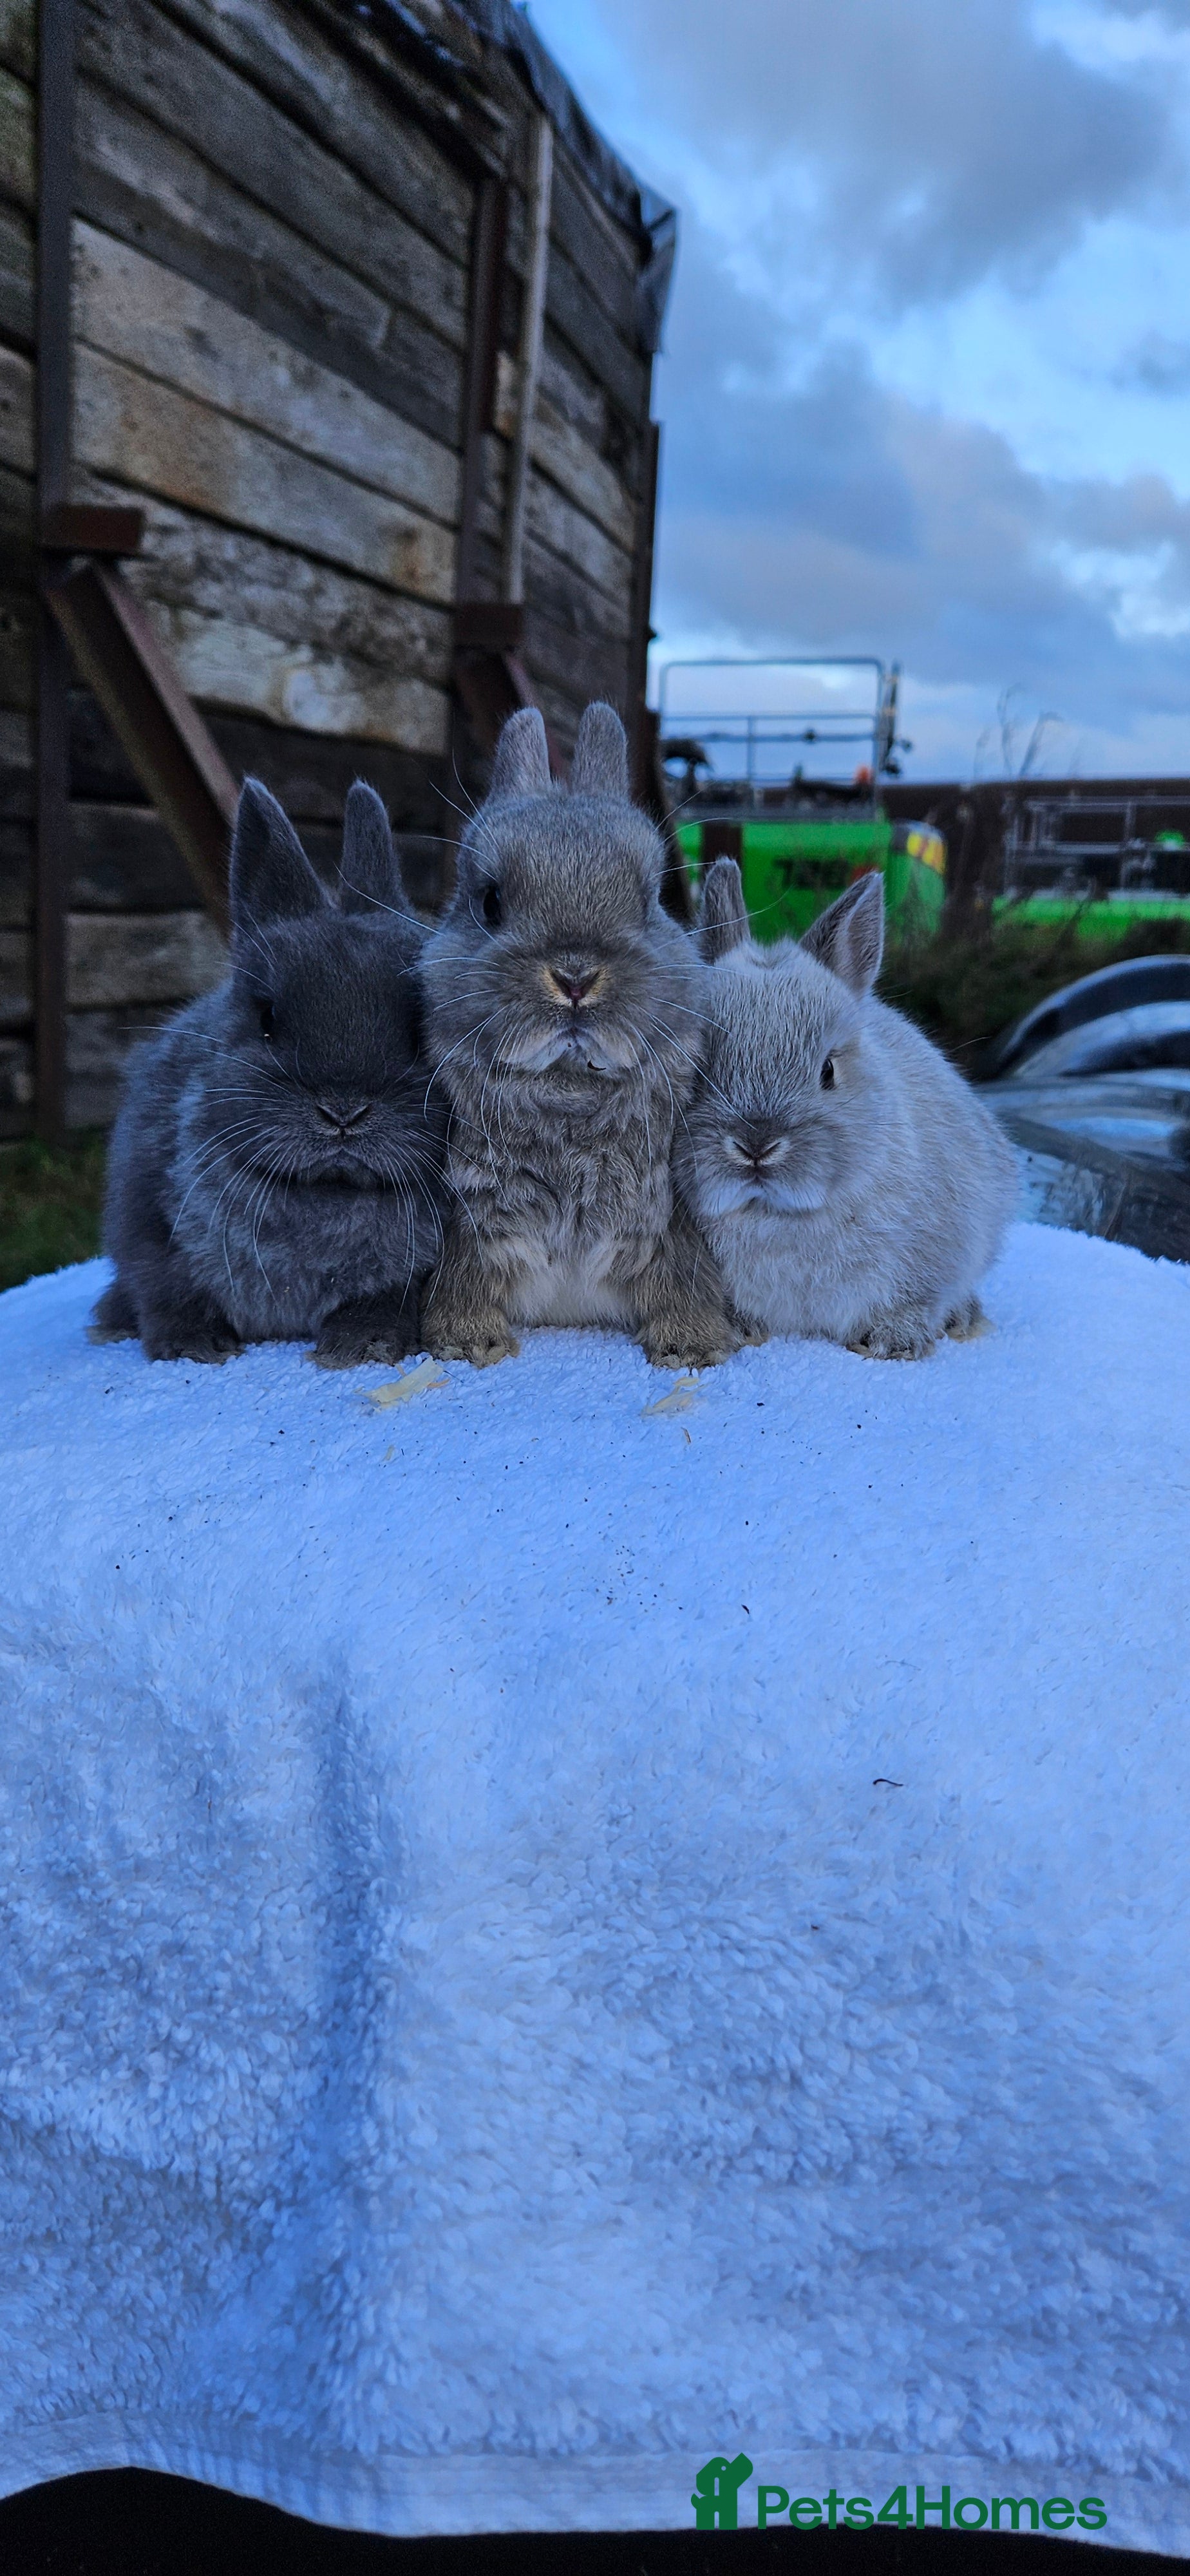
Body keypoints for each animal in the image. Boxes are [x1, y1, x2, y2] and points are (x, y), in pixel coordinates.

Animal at [89, 777, 448, 1366]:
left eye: (421, 1029)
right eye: (266, 1018)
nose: (343, 1111)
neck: (325, 1194)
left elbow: (384, 1298)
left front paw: (360, 1346)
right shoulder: (145, 1218)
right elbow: (167, 1287)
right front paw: (193, 1347)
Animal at [418, 701, 740, 1370]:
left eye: (650, 900)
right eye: (489, 902)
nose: (574, 976)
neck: (568, 1093)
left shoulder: (670, 1223)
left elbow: (682, 1280)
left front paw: (689, 1346)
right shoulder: (470, 1225)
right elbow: (465, 1278)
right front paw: (469, 1341)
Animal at [674, 860, 1017, 1358]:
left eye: (828, 1070)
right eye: (697, 1066)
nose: (756, 1146)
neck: (777, 1218)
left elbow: (917, 1300)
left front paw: (895, 1340)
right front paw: (741, 1330)